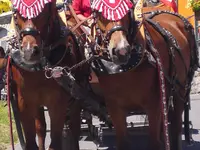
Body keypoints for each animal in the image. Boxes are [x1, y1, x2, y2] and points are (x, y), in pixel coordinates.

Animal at [0, 0, 87, 149]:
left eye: (44, 11)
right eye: (16, 12)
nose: (29, 51)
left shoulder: (58, 104)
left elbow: (55, 142)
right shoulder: (24, 103)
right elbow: (32, 141)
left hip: (76, 96)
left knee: (74, 126)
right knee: (41, 128)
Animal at [89, 2, 198, 150]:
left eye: (127, 11)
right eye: (99, 13)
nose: (121, 51)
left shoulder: (154, 105)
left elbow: (154, 142)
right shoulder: (115, 108)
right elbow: (124, 142)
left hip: (180, 89)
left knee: (175, 126)